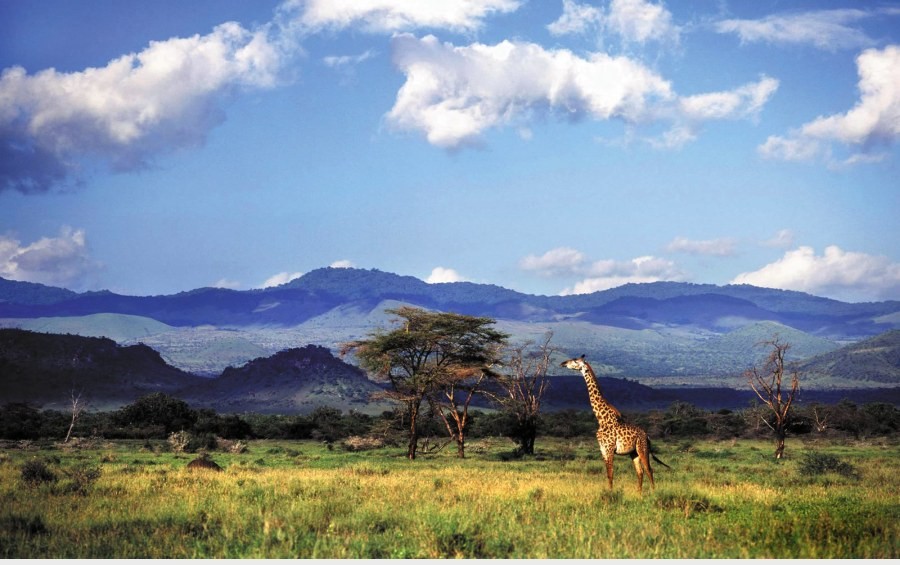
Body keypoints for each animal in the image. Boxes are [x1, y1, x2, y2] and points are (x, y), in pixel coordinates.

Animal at [560, 355, 670, 493]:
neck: (601, 419)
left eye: (575, 360)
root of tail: (647, 436)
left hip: (642, 449)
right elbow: (608, 474)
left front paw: (610, 493)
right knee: (640, 472)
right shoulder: (602, 449)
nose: (563, 363)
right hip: (633, 453)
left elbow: (611, 473)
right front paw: (609, 491)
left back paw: (653, 492)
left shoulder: (609, 448)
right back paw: (639, 494)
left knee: (649, 470)